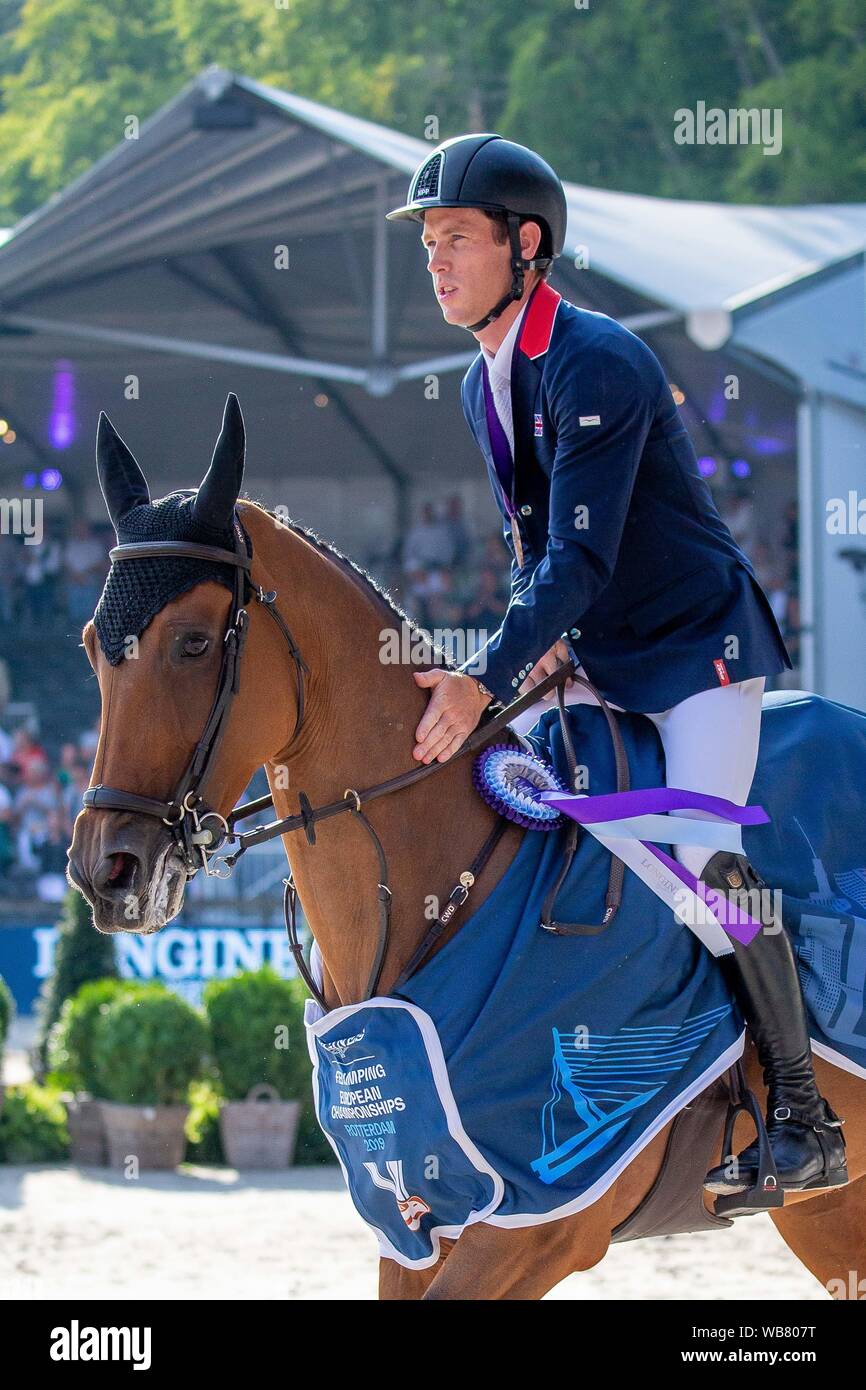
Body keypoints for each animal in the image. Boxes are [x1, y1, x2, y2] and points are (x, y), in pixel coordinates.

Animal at [69, 397, 866, 1295]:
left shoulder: (534, 1228)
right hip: (832, 1212)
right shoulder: (413, 1219)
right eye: (93, 646)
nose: (108, 872)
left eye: (195, 643)